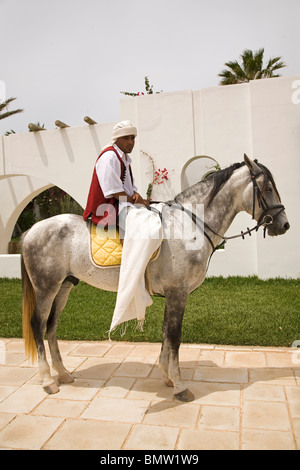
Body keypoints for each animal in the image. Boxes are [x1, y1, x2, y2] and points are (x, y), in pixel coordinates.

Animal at [21, 156, 288, 402]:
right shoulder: (178, 292)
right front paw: (179, 386)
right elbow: (175, 336)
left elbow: (166, 332)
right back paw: (48, 380)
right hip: (46, 288)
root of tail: (31, 230)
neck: (188, 225)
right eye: (267, 188)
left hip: (64, 286)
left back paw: (63, 373)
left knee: (51, 326)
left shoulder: (173, 293)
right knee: (38, 325)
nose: (284, 225)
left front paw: (167, 376)